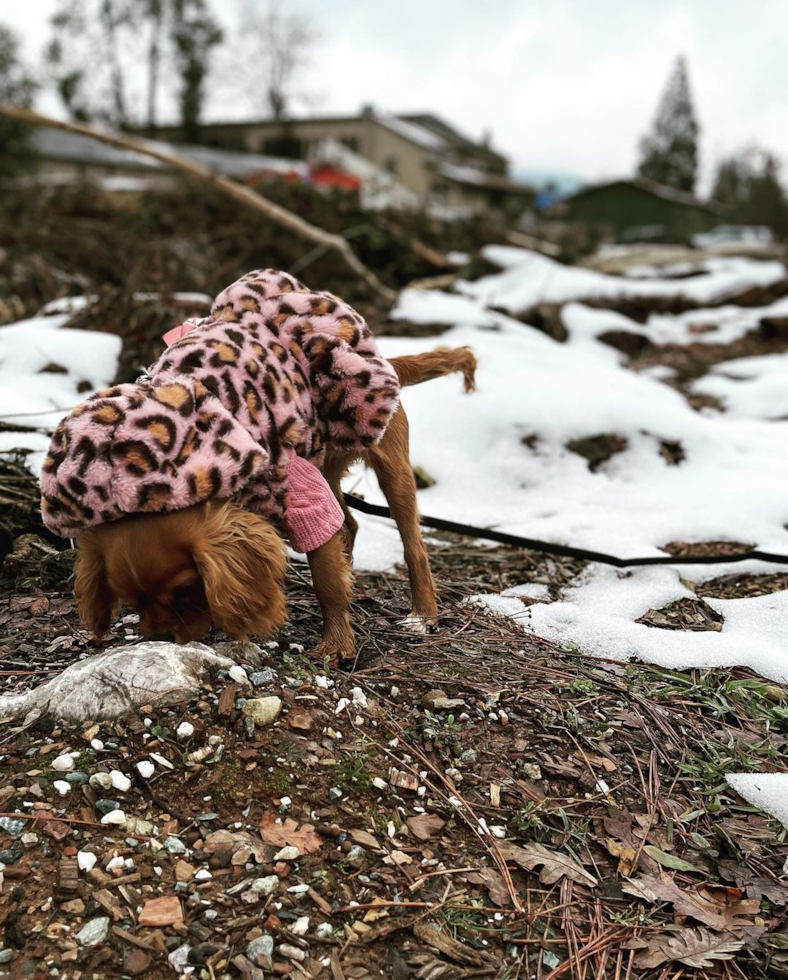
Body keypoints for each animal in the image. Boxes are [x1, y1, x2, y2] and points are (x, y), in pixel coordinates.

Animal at [41, 272, 474, 664]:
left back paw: (423, 613)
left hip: (390, 469)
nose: (160, 638)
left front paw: (336, 644)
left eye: (185, 590)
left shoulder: (302, 495)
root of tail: (387, 362)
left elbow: (326, 580)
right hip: (323, 465)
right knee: (348, 524)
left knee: (413, 544)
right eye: (131, 600)